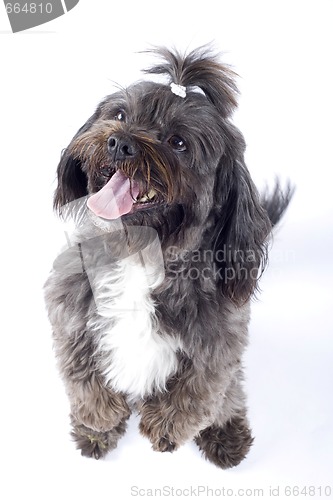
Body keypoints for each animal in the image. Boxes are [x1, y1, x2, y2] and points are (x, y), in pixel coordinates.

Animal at [42, 47, 292, 468]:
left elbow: (197, 391)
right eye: (120, 115)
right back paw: (93, 433)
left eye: (177, 142)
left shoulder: (220, 340)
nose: (119, 143)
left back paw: (226, 431)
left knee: (230, 394)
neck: (139, 254)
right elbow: (80, 369)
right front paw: (100, 418)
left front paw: (164, 427)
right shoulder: (68, 304)